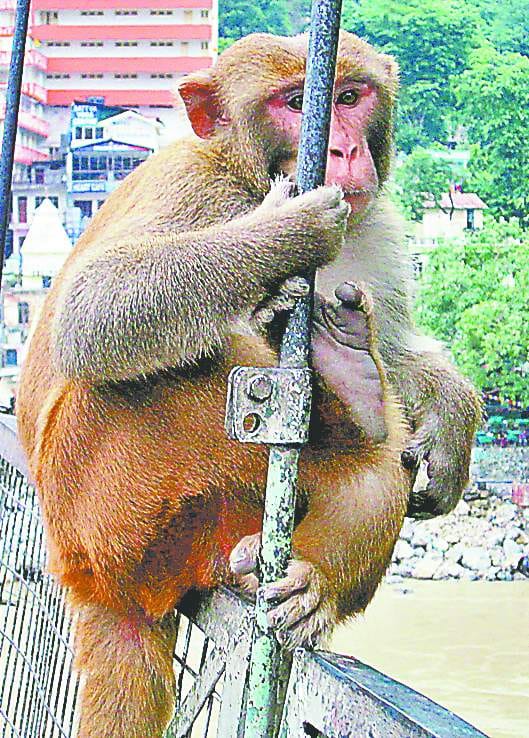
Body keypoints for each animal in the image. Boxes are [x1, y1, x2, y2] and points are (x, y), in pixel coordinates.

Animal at [15, 31, 480, 738]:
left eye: (351, 96)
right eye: (293, 103)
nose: (343, 150)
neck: (245, 175)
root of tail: (91, 582)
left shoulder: (377, 228)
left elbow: (398, 352)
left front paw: (452, 418)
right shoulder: (193, 188)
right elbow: (91, 309)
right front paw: (286, 230)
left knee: (374, 455)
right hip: (101, 493)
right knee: (178, 366)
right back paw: (348, 409)